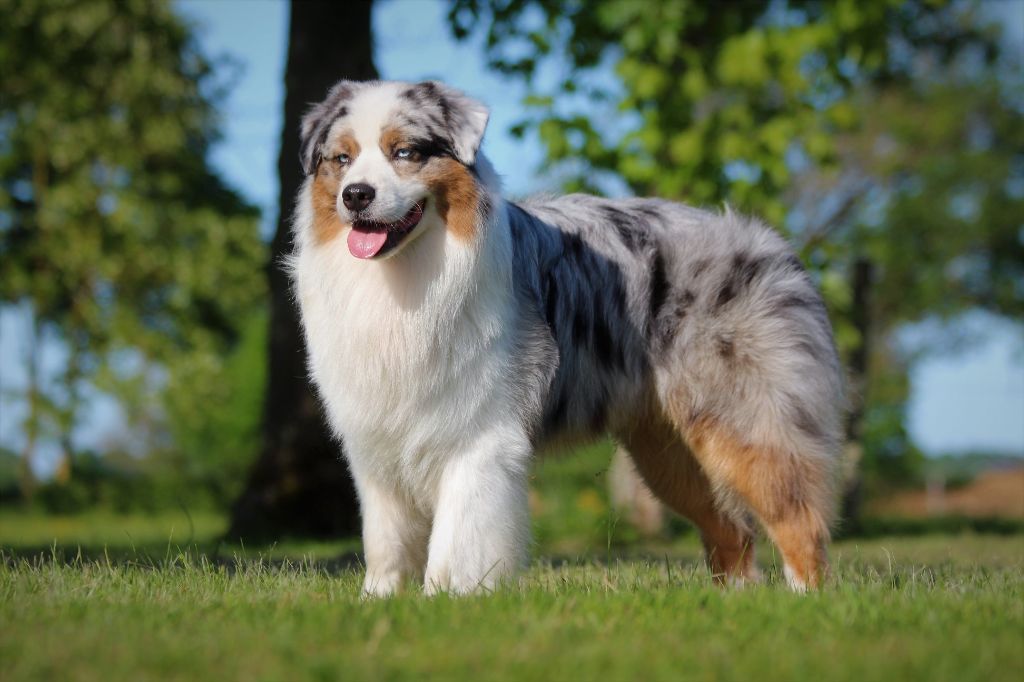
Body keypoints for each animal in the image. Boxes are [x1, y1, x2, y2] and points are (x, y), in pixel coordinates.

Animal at [288, 78, 839, 589]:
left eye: (404, 152)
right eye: (342, 158)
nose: (356, 195)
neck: (407, 275)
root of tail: (770, 244)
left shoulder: (477, 436)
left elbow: (457, 542)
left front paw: (446, 600)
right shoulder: (378, 439)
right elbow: (385, 542)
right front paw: (378, 602)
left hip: (743, 422)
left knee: (798, 520)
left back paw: (803, 602)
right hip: (668, 453)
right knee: (733, 532)